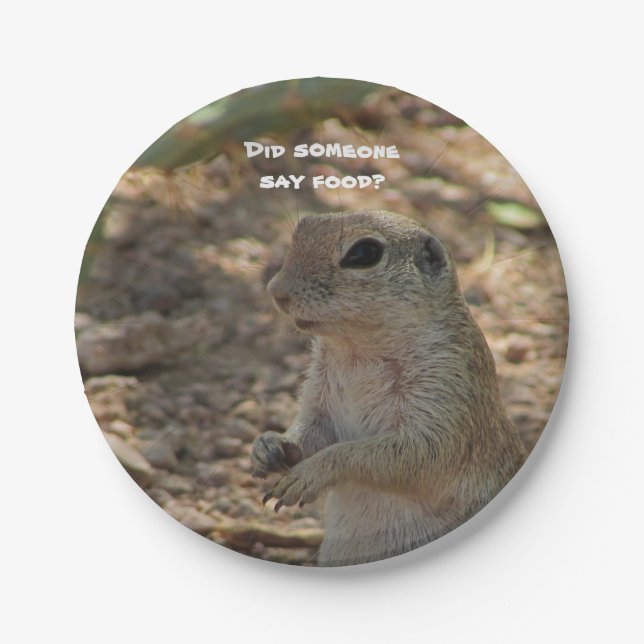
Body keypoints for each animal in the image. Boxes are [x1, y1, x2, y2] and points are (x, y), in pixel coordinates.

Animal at [251, 210, 526, 566]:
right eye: (303, 227)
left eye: (364, 253)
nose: (277, 291)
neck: (358, 351)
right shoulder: (319, 394)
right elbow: (311, 431)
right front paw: (269, 445)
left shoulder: (447, 385)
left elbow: (407, 454)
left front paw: (309, 473)